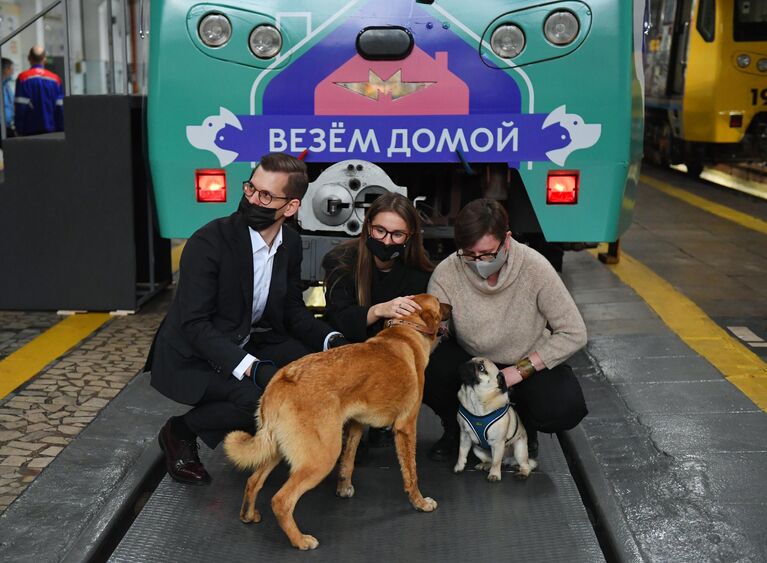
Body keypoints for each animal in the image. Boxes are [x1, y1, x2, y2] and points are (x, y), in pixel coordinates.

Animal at [224, 296, 450, 552]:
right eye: (440, 303)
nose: (451, 308)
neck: (406, 332)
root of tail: (281, 380)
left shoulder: (355, 424)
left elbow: (348, 463)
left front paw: (343, 489)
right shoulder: (406, 426)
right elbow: (411, 473)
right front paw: (419, 502)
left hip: (278, 449)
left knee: (253, 481)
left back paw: (248, 515)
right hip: (321, 457)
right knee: (281, 500)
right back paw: (300, 540)